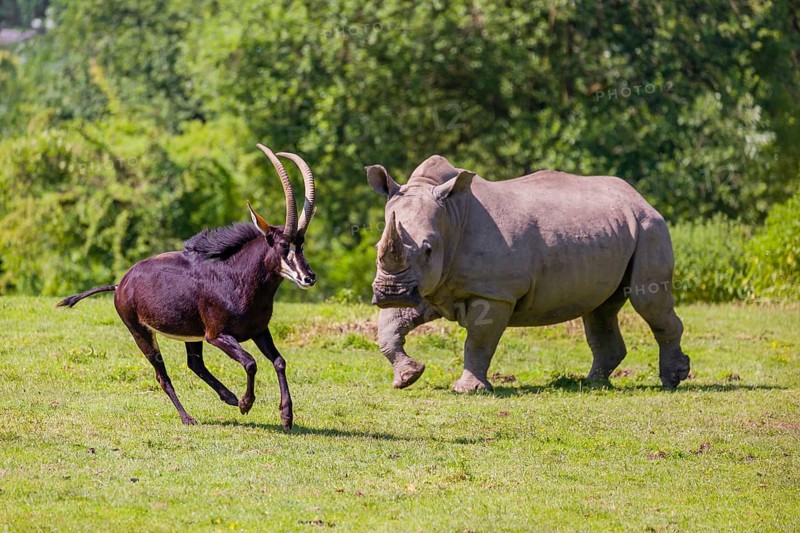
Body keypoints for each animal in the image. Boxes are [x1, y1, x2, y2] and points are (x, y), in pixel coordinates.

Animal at [58, 144, 317, 429]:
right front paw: (246, 404)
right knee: (164, 375)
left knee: (195, 364)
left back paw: (228, 396)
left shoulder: (259, 331)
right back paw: (189, 416)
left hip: (191, 335)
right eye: (282, 245)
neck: (238, 279)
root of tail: (120, 285)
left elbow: (279, 361)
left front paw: (286, 416)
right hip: (141, 332)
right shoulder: (217, 335)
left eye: (301, 244)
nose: (309, 277)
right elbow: (250, 363)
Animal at [365, 155, 690, 392]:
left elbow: (478, 341)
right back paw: (593, 384)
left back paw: (672, 380)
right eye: (378, 246)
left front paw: (469, 390)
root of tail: (640, 198)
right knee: (600, 310)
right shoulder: (428, 285)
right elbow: (388, 327)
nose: (390, 293)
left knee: (647, 300)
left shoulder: (494, 292)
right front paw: (407, 377)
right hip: (614, 229)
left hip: (650, 227)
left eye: (429, 250)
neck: (452, 216)